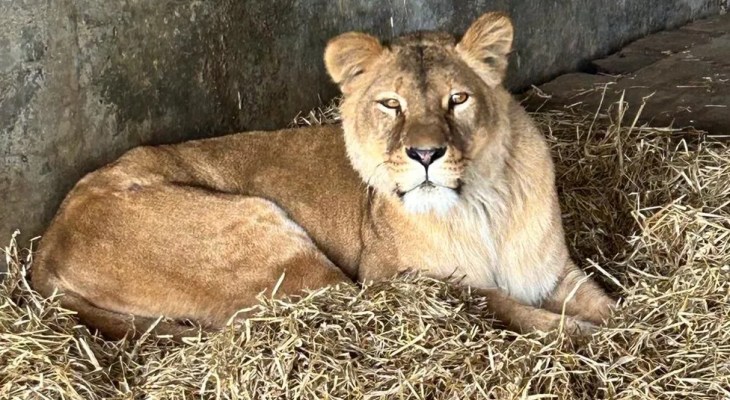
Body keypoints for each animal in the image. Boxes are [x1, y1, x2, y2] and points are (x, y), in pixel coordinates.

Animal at [31, 12, 614, 340]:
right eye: (391, 104)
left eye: (458, 99)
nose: (426, 153)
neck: (480, 205)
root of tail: (45, 245)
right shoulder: (406, 279)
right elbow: (508, 306)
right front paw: (584, 336)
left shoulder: (552, 272)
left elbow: (603, 300)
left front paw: (619, 321)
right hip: (282, 247)